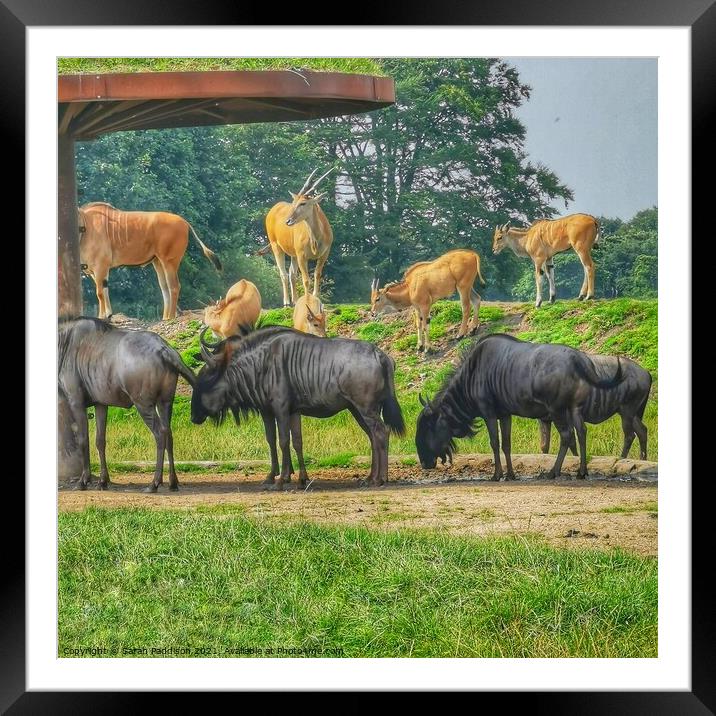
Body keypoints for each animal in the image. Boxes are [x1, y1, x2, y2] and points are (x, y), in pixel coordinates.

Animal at [262, 169, 336, 306]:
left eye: (303, 203)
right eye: (293, 202)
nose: (288, 221)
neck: (317, 238)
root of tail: (272, 210)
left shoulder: (324, 254)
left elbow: (317, 274)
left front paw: (316, 298)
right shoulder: (302, 255)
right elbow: (306, 279)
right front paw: (307, 301)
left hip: (293, 254)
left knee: (292, 274)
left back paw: (295, 300)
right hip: (276, 246)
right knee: (284, 274)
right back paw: (286, 302)